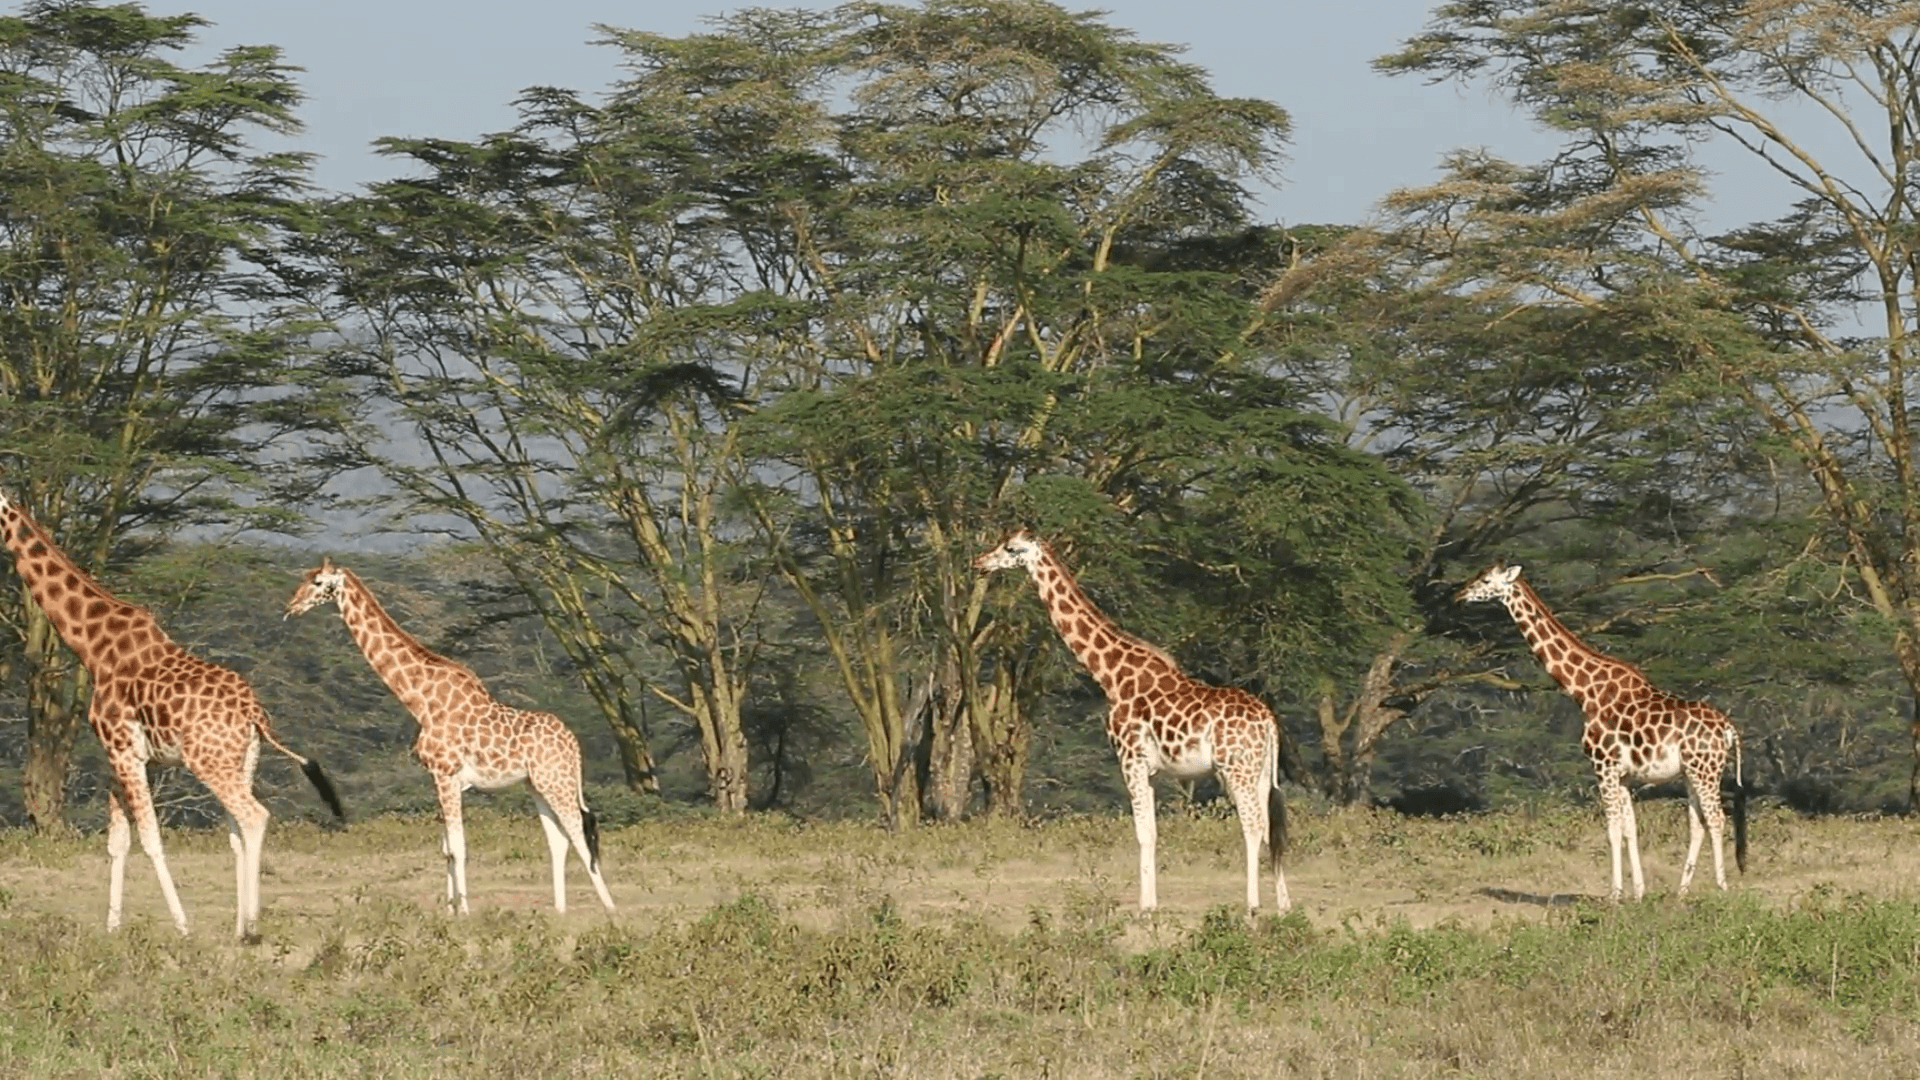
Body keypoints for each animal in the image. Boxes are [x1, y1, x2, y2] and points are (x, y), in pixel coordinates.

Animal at [0, 486, 341, 933]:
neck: (92, 646)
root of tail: (256, 715)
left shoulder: (124, 751)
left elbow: (150, 838)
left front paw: (182, 926)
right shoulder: (119, 756)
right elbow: (118, 841)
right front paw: (112, 929)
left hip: (209, 763)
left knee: (253, 817)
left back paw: (250, 927)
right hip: (242, 760)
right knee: (237, 832)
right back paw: (240, 927)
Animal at [282, 557, 614, 910]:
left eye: (317, 583)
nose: (292, 607)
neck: (420, 700)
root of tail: (573, 745)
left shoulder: (446, 772)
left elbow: (457, 847)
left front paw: (464, 910)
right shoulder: (440, 778)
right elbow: (446, 848)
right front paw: (450, 908)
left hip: (557, 781)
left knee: (579, 834)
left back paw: (610, 909)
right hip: (537, 784)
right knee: (559, 839)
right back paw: (560, 911)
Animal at [975, 526, 1290, 910]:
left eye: (1010, 548)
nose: (980, 563)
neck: (1111, 675)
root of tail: (1268, 721)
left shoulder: (1130, 759)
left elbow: (1143, 833)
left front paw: (1146, 907)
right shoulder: (1151, 769)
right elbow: (1152, 831)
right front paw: (1151, 902)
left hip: (1236, 768)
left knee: (1253, 825)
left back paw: (1252, 905)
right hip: (1260, 771)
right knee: (1272, 828)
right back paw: (1283, 905)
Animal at [1451, 557, 1758, 895]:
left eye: (1486, 580)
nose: (1459, 595)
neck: (1585, 692)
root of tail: (1729, 728)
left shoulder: (1604, 765)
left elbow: (1611, 829)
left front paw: (1615, 894)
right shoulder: (1623, 774)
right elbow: (1630, 829)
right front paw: (1639, 892)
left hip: (1705, 770)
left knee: (1716, 819)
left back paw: (1721, 887)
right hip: (1692, 772)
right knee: (1698, 824)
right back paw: (1681, 892)